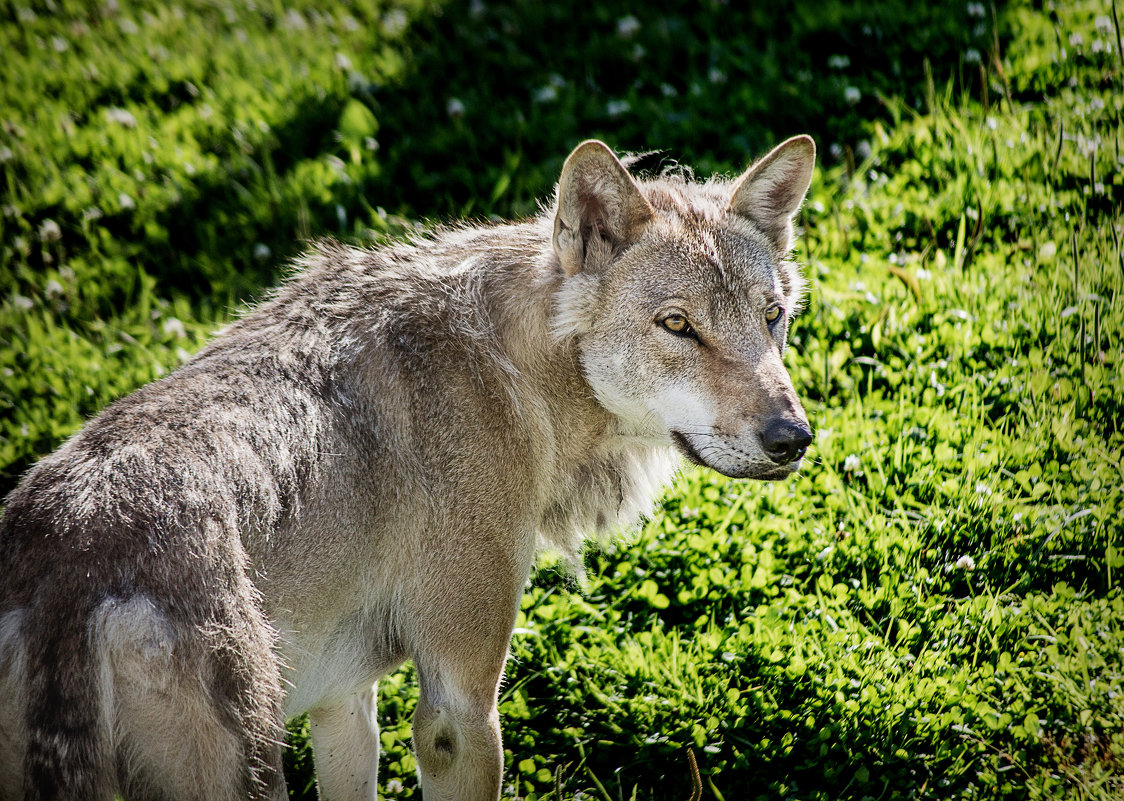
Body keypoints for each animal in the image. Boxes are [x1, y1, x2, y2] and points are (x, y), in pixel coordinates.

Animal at [0, 134, 813, 795]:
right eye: (678, 325)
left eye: (771, 316)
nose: (793, 438)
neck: (516, 374)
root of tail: (63, 567)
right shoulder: (458, 709)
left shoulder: (343, 700)